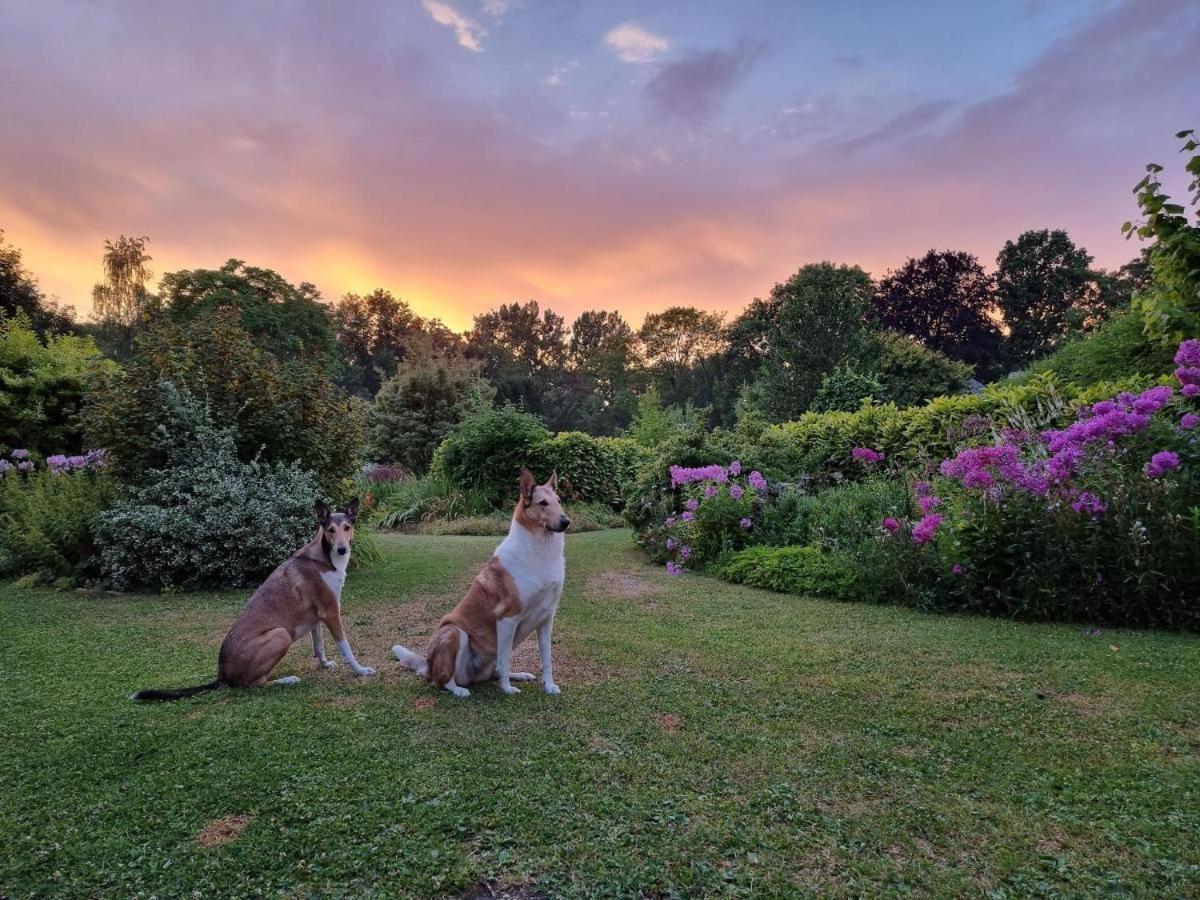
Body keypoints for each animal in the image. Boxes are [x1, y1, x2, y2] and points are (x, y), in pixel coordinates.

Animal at [130, 501, 374, 705]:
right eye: (330, 530)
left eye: (347, 527)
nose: (342, 549)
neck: (325, 558)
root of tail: (222, 676)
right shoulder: (331, 612)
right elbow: (346, 649)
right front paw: (361, 670)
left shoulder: (316, 617)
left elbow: (319, 646)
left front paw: (325, 664)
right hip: (280, 634)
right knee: (253, 684)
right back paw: (287, 680)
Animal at [388, 468, 566, 700]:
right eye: (543, 503)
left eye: (559, 501)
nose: (566, 522)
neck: (541, 551)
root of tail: (427, 667)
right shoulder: (506, 619)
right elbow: (505, 659)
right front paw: (506, 689)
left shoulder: (546, 619)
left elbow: (547, 659)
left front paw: (549, 686)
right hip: (455, 632)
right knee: (443, 681)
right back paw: (459, 690)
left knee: (495, 670)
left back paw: (520, 675)